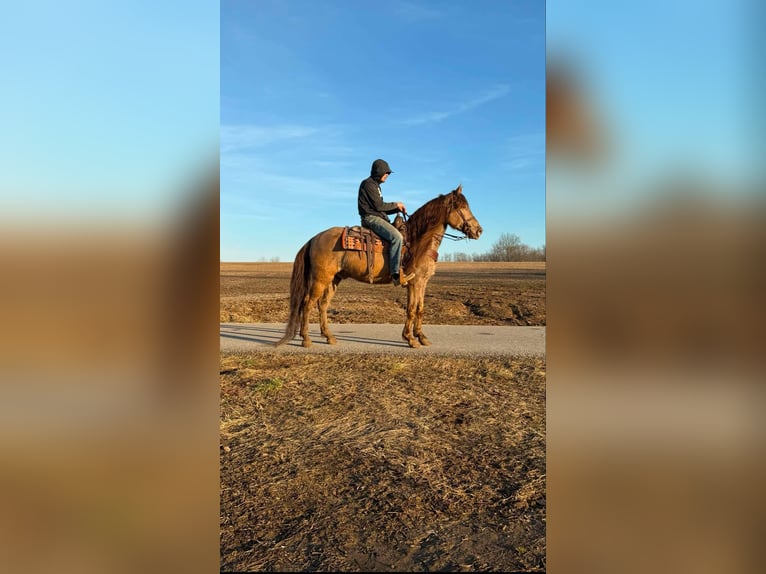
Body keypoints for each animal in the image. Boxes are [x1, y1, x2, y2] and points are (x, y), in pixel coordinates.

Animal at [275, 184, 483, 348]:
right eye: (462, 207)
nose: (479, 230)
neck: (418, 241)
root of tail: (314, 238)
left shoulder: (422, 282)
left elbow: (419, 309)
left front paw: (421, 337)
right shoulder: (414, 283)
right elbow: (411, 309)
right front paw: (410, 339)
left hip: (334, 279)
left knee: (323, 305)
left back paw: (329, 337)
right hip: (320, 279)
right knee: (307, 303)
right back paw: (306, 339)